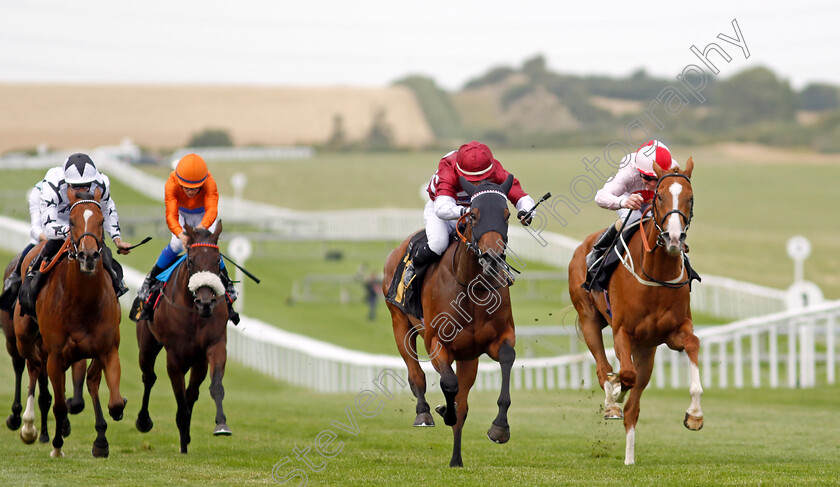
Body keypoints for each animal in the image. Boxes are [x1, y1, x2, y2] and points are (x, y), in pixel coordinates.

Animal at [14, 189, 126, 460]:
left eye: (101, 220)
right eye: (72, 222)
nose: (88, 256)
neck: (81, 302)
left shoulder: (107, 349)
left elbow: (112, 399)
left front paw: (102, 440)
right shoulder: (56, 356)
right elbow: (59, 405)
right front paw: (56, 446)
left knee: (89, 382)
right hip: (25, 339)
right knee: (34, 368)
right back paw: (29, 427)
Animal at [136, 223, 231, 456]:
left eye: (217, 260)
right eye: (191, 260)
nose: (206, 302)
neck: (193, 311)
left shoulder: (212, 348)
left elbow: (211, 388)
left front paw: (221, 424)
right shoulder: (174, 356)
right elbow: (181, 401)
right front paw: (183, 443)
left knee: (192, 393)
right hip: (147, 345)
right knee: (149, 377)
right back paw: (143, 420)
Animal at [382, 176, 516, 468]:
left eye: (507, 214)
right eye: (474, 215)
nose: (492, 258)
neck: (472, 289)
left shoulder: (496, 340)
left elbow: (506, 358)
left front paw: (499, 428)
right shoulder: (437, 343)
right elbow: (449, 384)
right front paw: (444, 410)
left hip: (469, 357)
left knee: (463, 403)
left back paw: (456, 459)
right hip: (400, 323)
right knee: (415, 373)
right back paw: (424, 413)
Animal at [572, 159, 704, 466]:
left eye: (690, 198)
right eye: (659, 196)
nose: (674, 238)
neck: (657, 274)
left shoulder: (673, 332)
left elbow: (693, 343)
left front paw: (694, 415)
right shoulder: (623, 330)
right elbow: (625, 375)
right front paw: (616, 392)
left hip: (647, 348)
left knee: (634, 408)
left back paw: (629, 458)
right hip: (588, 318)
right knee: (604, 368)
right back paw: (612, 402)